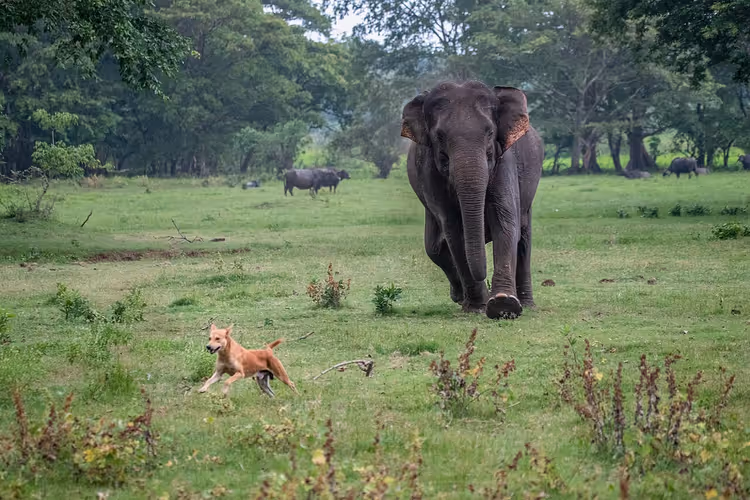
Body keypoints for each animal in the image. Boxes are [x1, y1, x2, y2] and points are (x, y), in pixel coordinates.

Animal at [401, 81, 543, 320]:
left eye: (490, 132)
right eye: (439, 136)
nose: (484, 278)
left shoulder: (504, 160)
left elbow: (505, 222)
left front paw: (503, 305)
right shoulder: (430, 171)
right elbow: (454, 230)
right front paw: (478, 306)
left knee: (524, 238)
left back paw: (527, 304)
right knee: (434, 247)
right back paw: (460, 297)